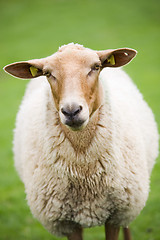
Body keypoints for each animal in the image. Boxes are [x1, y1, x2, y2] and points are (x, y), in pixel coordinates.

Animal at [3, 43, 159, 240]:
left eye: (96, 67)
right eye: (47, 73)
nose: (71, 111)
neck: (85, 174)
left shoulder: (116, 216)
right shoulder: (66, 222)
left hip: (130, 203)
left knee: (127, 226)